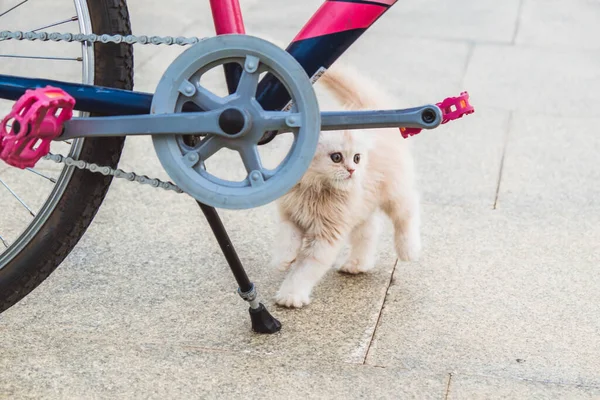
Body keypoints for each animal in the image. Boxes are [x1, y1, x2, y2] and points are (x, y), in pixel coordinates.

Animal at [272, 62, 422, 308]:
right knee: (369, 231)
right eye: (336, 158)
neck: (314, 190)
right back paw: (357, 264)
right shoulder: (290, 215)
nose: (352, 171)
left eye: (357, 158)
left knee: (407, 213)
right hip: (361, 207)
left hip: (394, 192)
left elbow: (304, 270)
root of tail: (370, 112)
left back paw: (408, 249)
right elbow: (287, 240)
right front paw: (283, 260)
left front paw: (291, 296)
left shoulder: (325, 237)